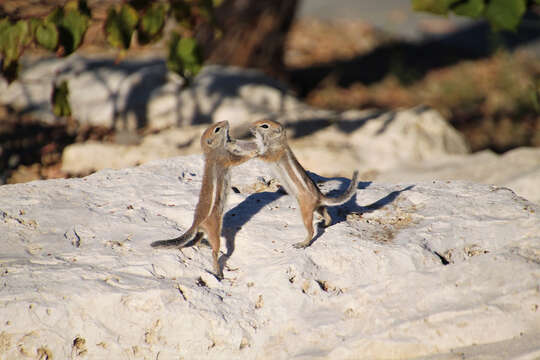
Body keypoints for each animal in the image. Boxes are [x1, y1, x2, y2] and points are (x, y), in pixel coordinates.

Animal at [149, 120, 256, 278]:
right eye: (217, 129)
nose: (227, 121)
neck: (212, 151)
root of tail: (196, 222)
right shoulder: (225, 157)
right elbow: (238, 159)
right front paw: (254, 152)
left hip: (202, 232)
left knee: (197, 241)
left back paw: (204, 245)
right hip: (214, 231)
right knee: (214, 251)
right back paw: (218, 272)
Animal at [249, 119, 358, 249]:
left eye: (265, 126)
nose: (250, 127)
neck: (278, 141)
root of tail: (320, 196)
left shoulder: (273, 154)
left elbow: (263, 156)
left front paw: (254, 153)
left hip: (305, 210)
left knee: (311, 230)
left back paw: (302, 243)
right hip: (318, 208)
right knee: (328, 216)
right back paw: (324, 224)